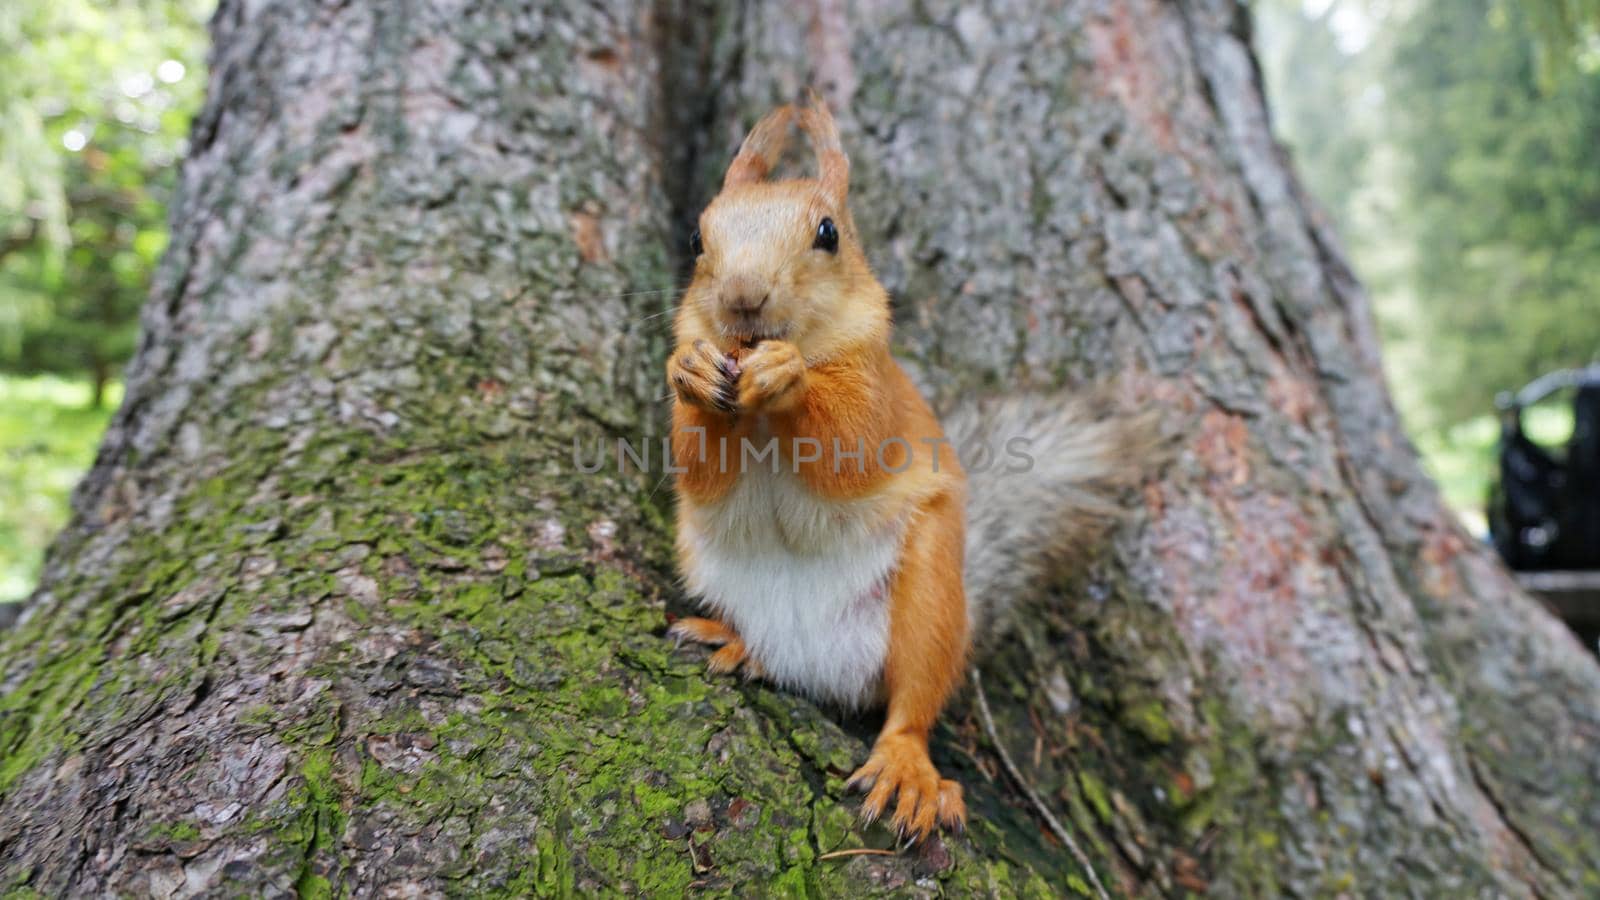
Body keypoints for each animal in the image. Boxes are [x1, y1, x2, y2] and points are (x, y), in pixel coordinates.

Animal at [668, 94, 1145, 839]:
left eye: (828, 233)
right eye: (696, 238)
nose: (743, 297)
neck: (757, 410)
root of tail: (814, 660)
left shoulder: (880, 393)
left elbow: (850, 444)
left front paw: (789, 375)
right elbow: (699, 467)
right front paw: (690, 372)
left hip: (928, 601)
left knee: (911, 702)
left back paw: (907, 770)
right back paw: (739, 644)